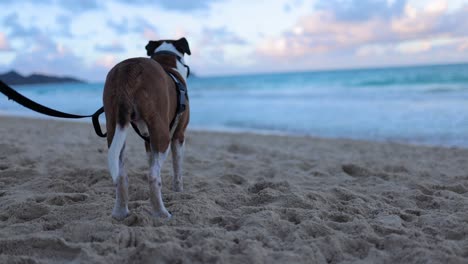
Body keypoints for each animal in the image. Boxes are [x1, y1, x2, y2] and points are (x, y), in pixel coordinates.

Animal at [102, 36, 190, 219]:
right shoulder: (179, 135)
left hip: (114, 126)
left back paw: (120, 212)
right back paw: (161, 213)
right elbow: (177, 167)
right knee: (153, 176)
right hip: (162, 134)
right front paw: (179, 191)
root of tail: (129, 70)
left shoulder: (148, 140)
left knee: (121, 175)